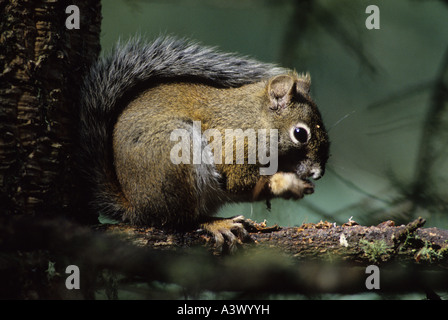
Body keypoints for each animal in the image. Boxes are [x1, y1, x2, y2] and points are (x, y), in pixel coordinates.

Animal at [79, 36, 328, 251]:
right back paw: (217, 224)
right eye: (300, 133)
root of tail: (136, 208)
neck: (256, 120)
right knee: (183, 220)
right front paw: (288, 184)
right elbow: (240, 183)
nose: (318, 173)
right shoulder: (234, 148)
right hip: (178, 163)